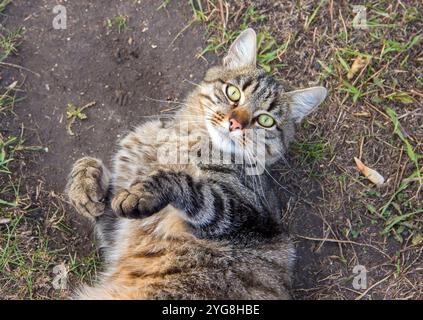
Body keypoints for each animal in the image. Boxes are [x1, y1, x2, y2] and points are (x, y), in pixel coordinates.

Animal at [66, 28, 328, 298]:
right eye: (233, 93)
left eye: (265, 120)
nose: (235, 124)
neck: (188, 139)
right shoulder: (118, 226)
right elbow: (89, 168)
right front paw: (86, 183)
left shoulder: (241, 214)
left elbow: (184, 184)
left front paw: (145, 191)